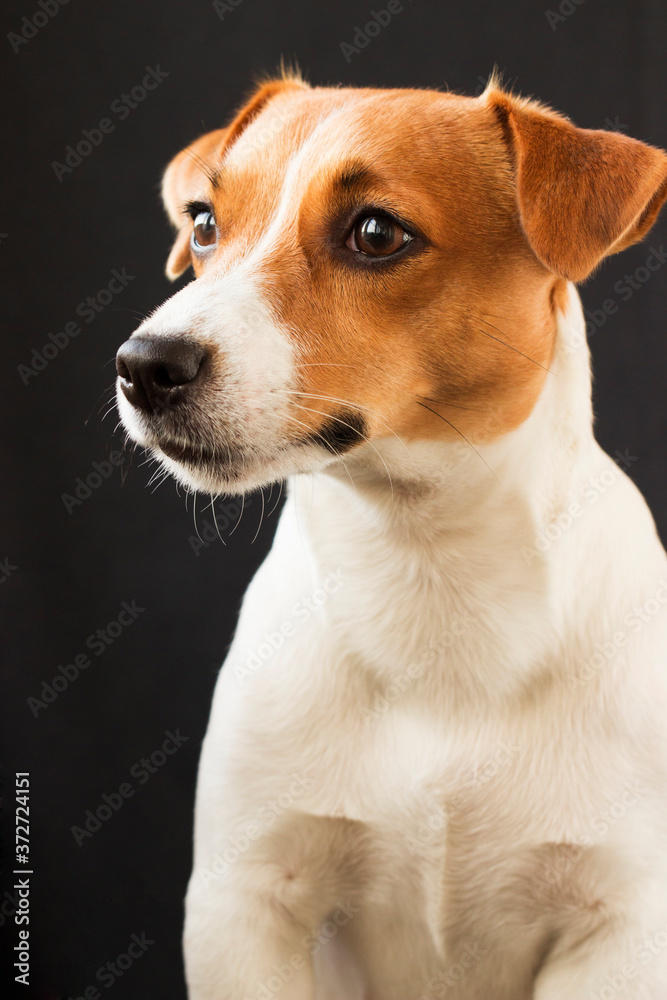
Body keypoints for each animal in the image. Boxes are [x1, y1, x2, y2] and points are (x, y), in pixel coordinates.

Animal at [117, 72, 667, 1000]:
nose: (144, 364)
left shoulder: (617, 927)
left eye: (376, 233)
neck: (425, 569)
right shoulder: (247, 899)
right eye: (203, 223)